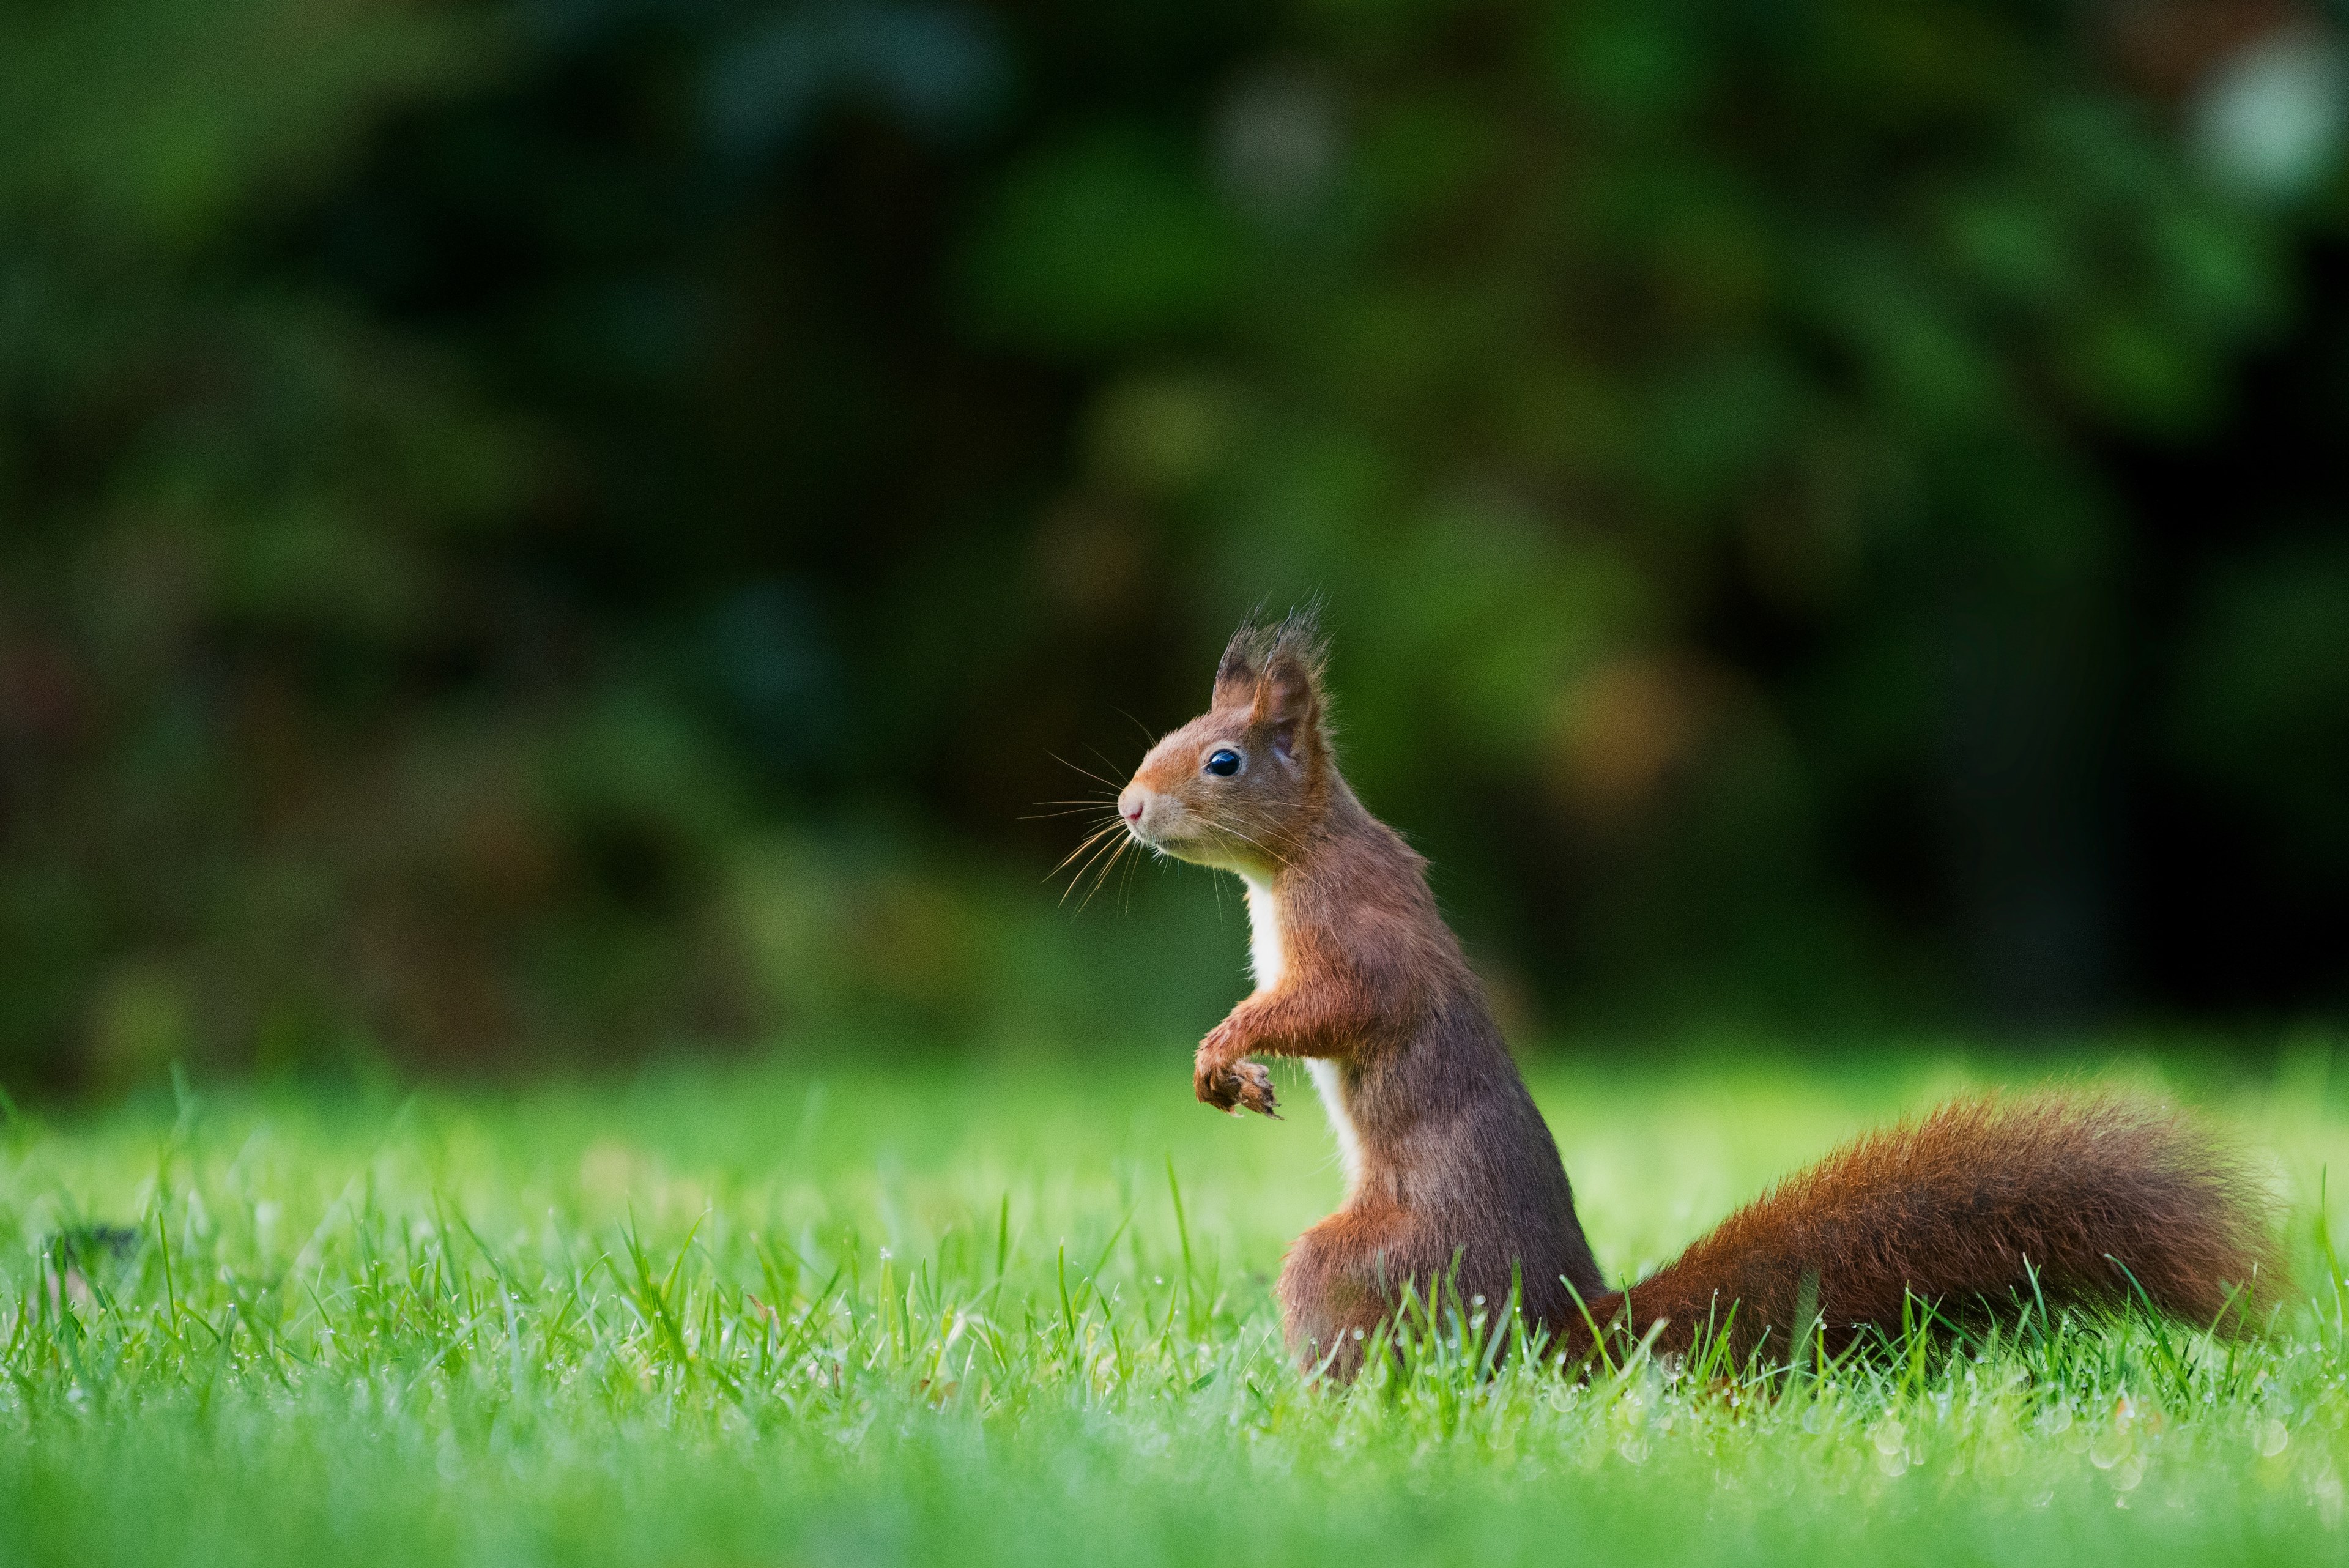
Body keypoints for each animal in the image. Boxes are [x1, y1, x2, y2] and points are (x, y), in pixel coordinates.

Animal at [1114, 607, 2279, 1378]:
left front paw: (1225, 1047)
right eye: (1161, 740)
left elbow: (1346, 1004)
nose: (1127, 806)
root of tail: (1562, 1325)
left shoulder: (1358, 932)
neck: (1297, 856)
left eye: (1222, 760)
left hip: (1375, 1261)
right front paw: (1232, 1070)